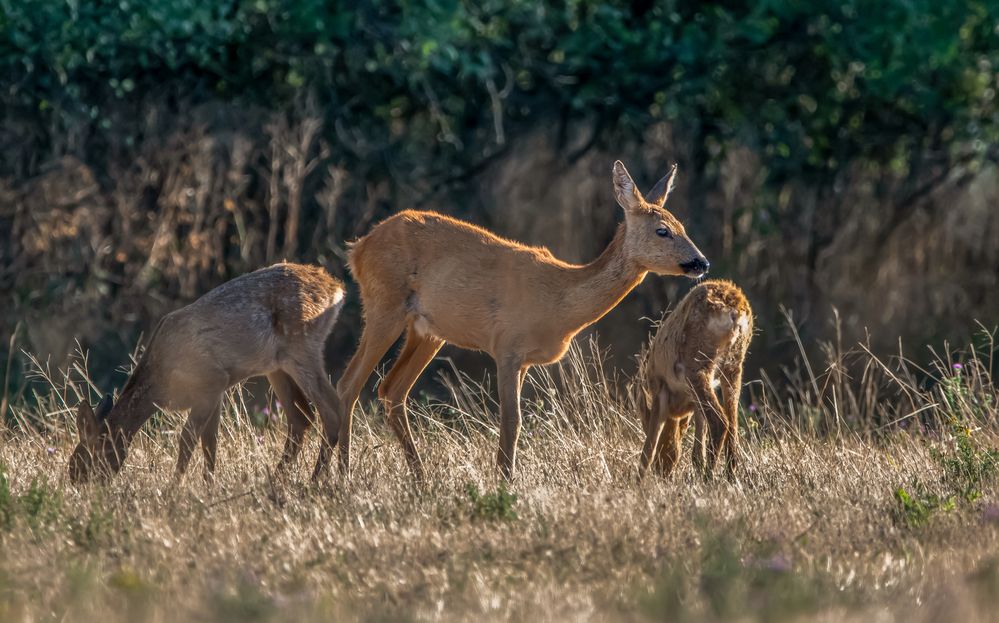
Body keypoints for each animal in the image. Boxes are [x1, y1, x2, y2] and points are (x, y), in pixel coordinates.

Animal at [68, 260, 346, 486]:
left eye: (87, 458)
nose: (78, 482)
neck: (161, 384)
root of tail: (337, 289)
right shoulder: (217, 389)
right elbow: (210, 442)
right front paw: (208, 486)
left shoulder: (210, 381)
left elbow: (187, 440)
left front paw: (174, 488)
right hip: (276, 365)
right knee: (302, 416)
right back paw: (280, 479)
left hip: (301, 347)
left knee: (332, 408)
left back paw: (316, 480)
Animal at [336, 160, 712, 478]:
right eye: (662, 230)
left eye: (681, 225)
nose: (701, 262)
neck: (559, 302)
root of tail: (358, 248)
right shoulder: (507, 347)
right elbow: (512, 422)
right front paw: (506, 482)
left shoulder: (525, 361)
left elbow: (514, 423)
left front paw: (505, 476)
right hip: (384, 304)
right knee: (349, 384)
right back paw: (340, 474)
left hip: (427, 331)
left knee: (391, 390)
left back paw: (419, 478)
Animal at [640, 280, 752, 480]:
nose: (663, 471)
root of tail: (735, 312)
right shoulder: (694, 401)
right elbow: (697, 451)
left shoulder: (660, 390)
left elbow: (648, 451)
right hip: (733, 366)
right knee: (733, 423)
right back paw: (730, 476)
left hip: (698, 365)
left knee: (720, 421)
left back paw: (710, 477)